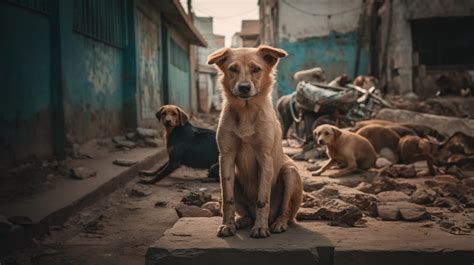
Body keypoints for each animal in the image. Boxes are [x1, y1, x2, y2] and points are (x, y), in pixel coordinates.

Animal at [208, 44, 304, 237]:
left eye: (256, 69)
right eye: (233, 69)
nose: (244, 87)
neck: (246, 111)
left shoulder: (265, 157)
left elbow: (262, 199)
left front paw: (260, 227)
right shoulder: (226, 157)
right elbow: (227, 198)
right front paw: (227, 225)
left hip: (290, 173)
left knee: (285, 212)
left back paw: (278, 223)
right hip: (236, 177)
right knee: (246, 212)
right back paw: (241, 221)